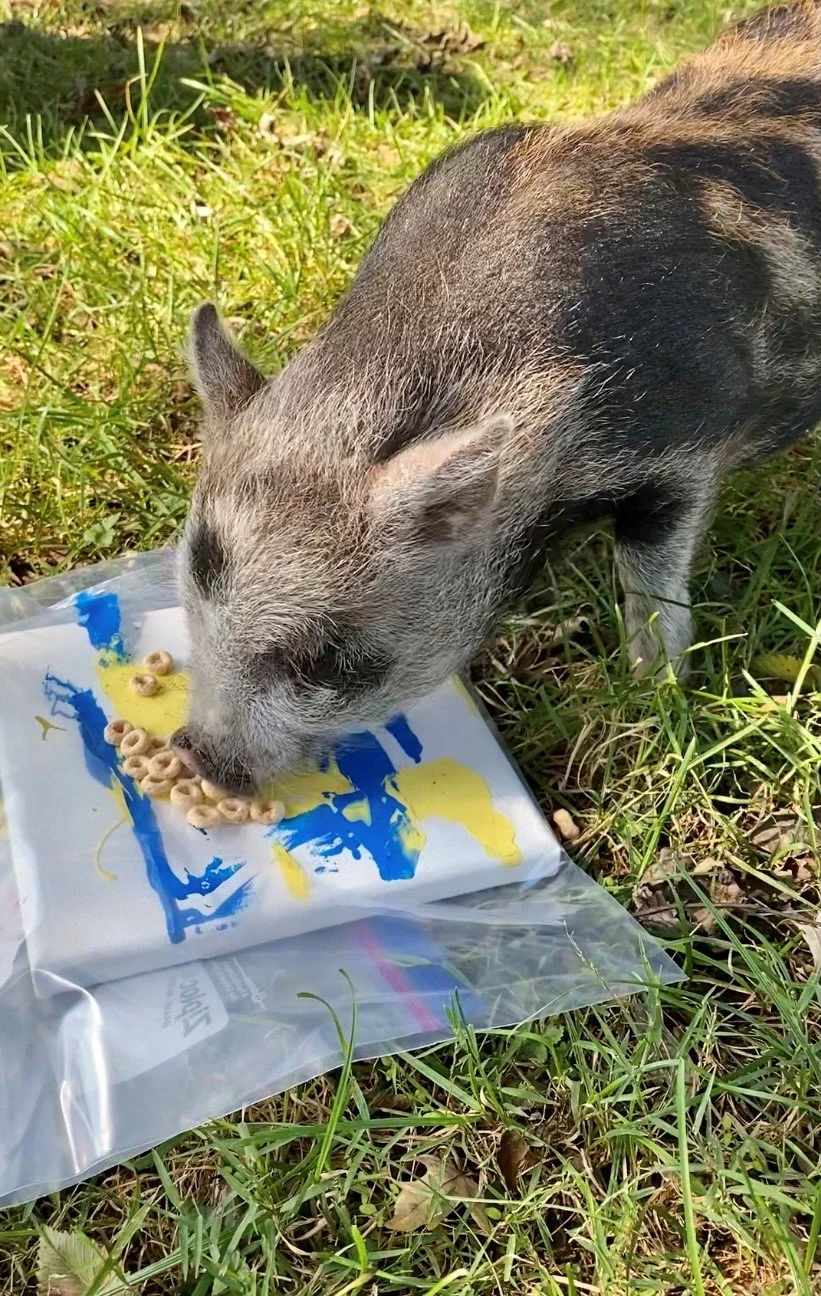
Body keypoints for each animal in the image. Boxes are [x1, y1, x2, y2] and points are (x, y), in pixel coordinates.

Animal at [175, 0, 821, 790]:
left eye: (324, 658)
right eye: (190, 593)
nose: (194, 755)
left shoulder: (692, 434)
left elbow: (653, 572)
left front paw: (655, 686)